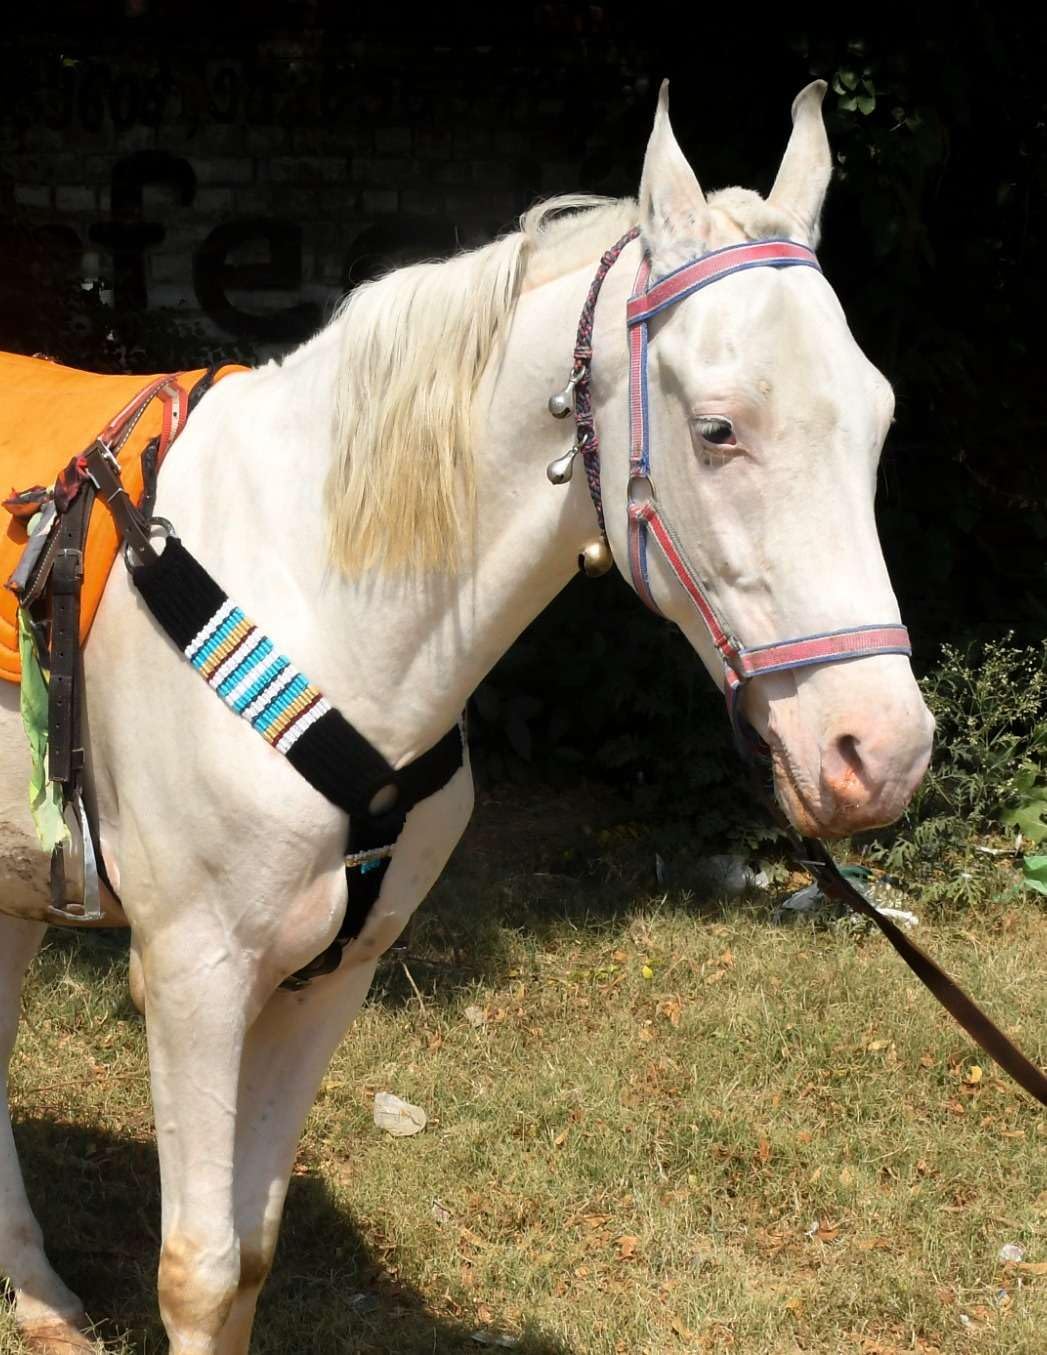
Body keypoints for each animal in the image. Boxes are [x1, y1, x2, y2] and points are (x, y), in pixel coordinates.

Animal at [0, 81, 933, 1353]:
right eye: (719, 428)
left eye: (878, 422)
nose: (879, 751)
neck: (314, 585)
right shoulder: (194, 975)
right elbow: (196, 1267)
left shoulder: (331, 973)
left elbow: (250, 1253)